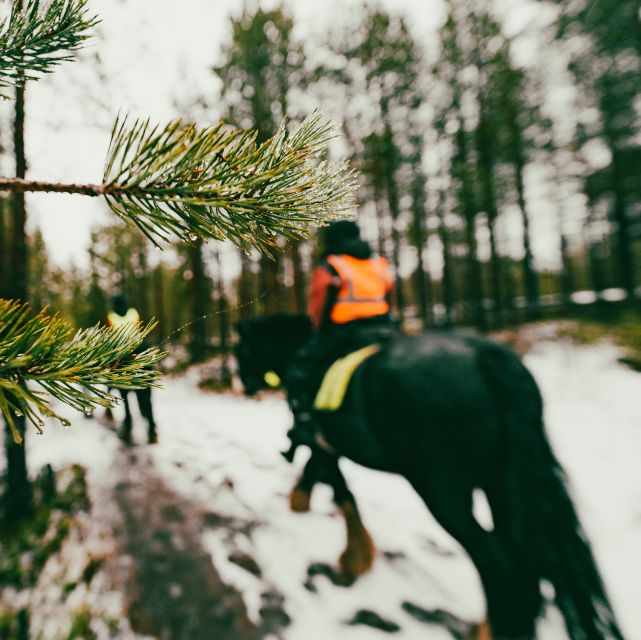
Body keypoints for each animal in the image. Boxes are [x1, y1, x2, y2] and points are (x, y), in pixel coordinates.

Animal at [234, 314, 624, 640]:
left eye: (241, 350)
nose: (245, 385)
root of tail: (486, 357)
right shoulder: (326, 446)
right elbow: (318, 475)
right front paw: (301, 503)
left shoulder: (324, 443)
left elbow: (341, 492)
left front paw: (352, 559)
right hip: (501, 483)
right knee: (522, 563)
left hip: (442, 491)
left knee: (497, 563)